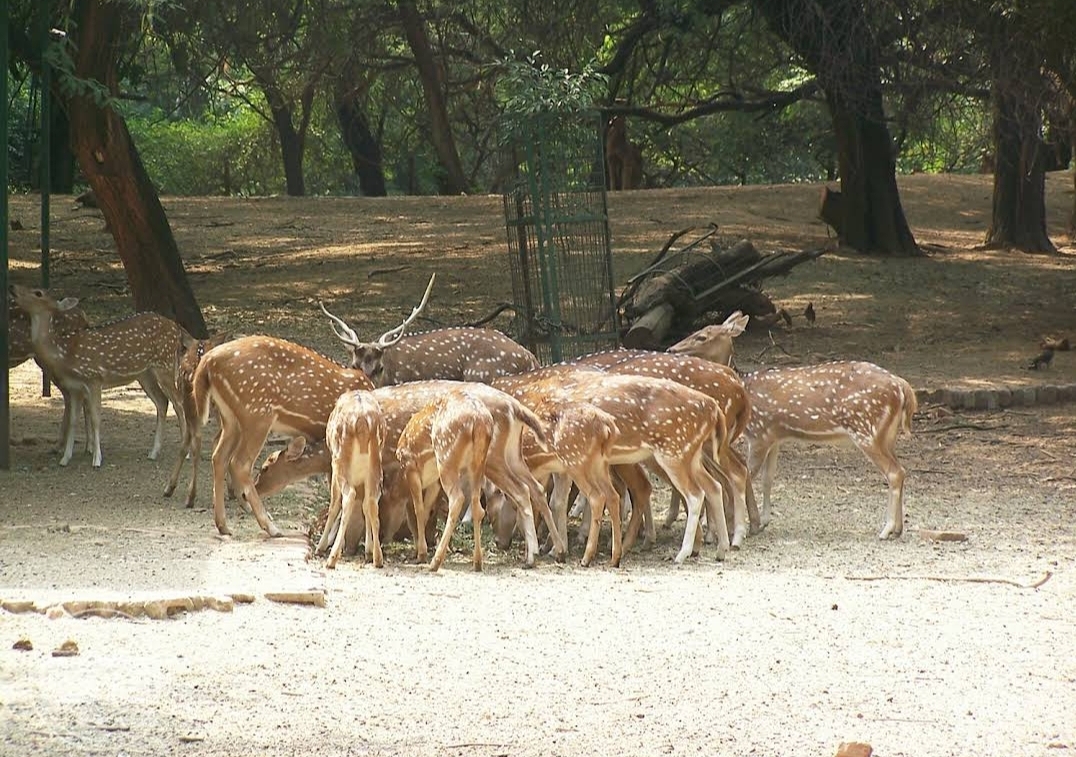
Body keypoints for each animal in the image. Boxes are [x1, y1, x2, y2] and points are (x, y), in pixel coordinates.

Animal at [10, 284, 189, 469]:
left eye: (38, 293)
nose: (12, 287)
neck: (65, 353)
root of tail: (176, 328)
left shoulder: (94, 378)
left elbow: (96, 418)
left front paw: (97, 459)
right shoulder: (74, 388)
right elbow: (73, 420)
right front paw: (65, 459)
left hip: (165, 364)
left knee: (178, 402)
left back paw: (186, 451)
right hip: (144, 374)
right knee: (162, 401)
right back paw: (153, 452)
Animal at [190, 334, 376, 538]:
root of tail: (207, 361)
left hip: (231, 419)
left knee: (219, 456)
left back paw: (223, 525)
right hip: (256, 412)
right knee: (239, 462)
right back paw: (270, 527)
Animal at [741, 362, 917, 539]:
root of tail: (901, 385)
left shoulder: (759, 434)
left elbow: (748, 477)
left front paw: (752, 526)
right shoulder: (773, 438)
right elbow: (767, 479)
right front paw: (764, 521)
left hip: (866, 432)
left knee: (894, 473)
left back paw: (887, 529)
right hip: (887, 437)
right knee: (901, 470)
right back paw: (898, 529)